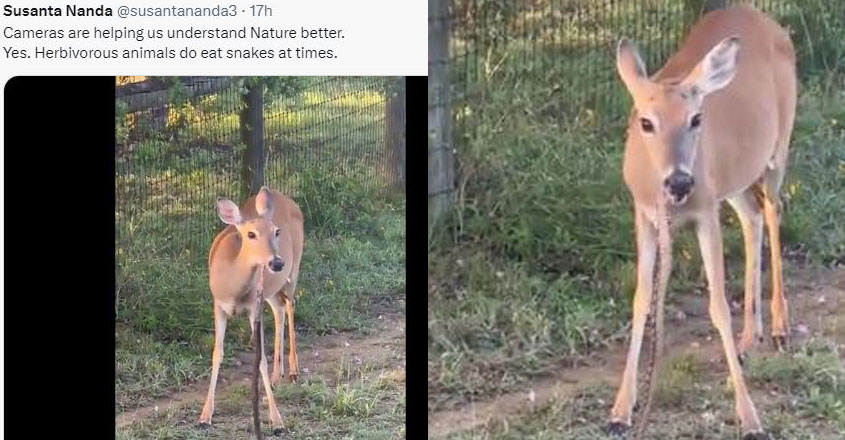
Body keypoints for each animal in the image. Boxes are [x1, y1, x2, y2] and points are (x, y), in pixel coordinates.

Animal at [199, 186, 305, 435]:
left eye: (276, 231)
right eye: (251, 234)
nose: (276, 263)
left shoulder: (253, 308)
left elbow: (260, 360)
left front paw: (277, 421)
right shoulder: (218, 304)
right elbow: (217, 353)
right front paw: (205, 415)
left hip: (293, 270)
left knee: (290, 304)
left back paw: (293, 370)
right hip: (271, 290)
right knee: (279, 308)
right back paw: (277, 375)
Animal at [606, 5, 795, 440]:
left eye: (695, 119)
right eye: (645, 122)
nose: (679, 181)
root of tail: (765, 19)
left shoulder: (705, 210)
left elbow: (718, 306)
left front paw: (750, 417)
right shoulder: (645, 214)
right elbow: (642, 299)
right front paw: (622, 408)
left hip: (777, 148)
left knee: (773, 211)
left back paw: (779, 327)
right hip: (735, 178)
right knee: (752, 216)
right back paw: (749, 338)